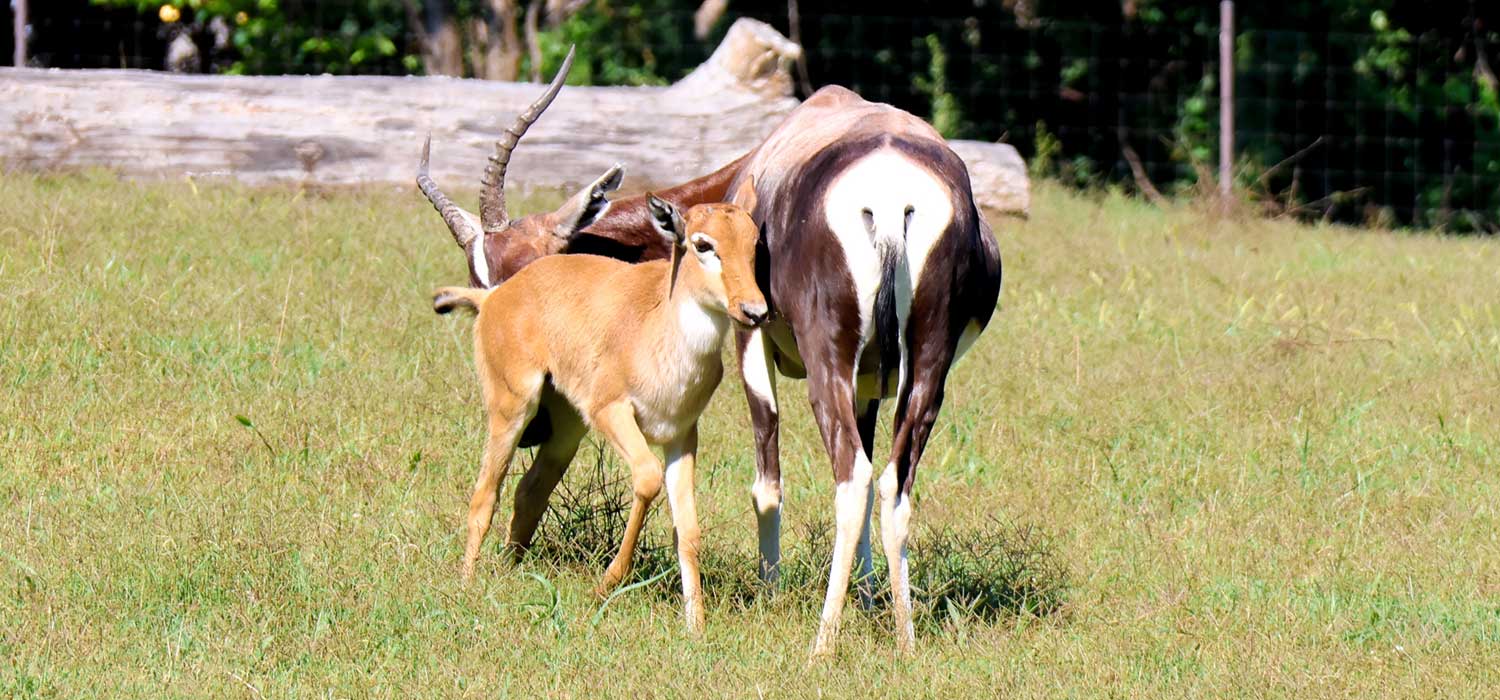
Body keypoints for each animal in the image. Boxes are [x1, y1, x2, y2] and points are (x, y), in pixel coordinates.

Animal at [432, 183, 762, 632]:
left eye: (754, 242)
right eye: (703, 244)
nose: (755, 311)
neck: (662, 331)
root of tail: (495, 295)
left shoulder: (681, 435)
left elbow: (688, 528)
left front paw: (695, 624)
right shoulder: (612, 411)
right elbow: (646, 478)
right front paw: (605, 585)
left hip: (567, 429)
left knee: (529, 489)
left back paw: (508, 566)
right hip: (512, 410)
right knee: (485, 494)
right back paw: (467, 583)